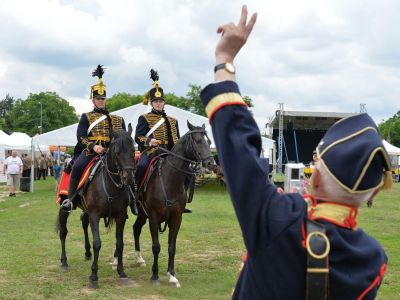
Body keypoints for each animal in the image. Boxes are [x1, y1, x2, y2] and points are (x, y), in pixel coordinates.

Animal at [56, 125, 135, 288]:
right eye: (117, 152)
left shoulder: (120, 216)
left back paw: (87, 253)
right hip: (64, 206)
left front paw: (122, 272)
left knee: (84, 223)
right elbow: (97, 243)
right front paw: (93, 275)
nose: (129, 178)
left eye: (132, 150)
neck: (110, 185)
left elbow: (120, 243)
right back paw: (64, 262)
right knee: (63, 232)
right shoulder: (95, 215)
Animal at [133, 120, 214, 288]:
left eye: (209, 142)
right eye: (198, 141)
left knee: (136, 229)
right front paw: (155, 276)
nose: (211, 163)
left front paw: (172, 276)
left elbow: (172, 247)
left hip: (143, 214)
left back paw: (139, 259)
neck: (169, 180)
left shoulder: (176, 219)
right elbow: (156, 247)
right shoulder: (154, 218)